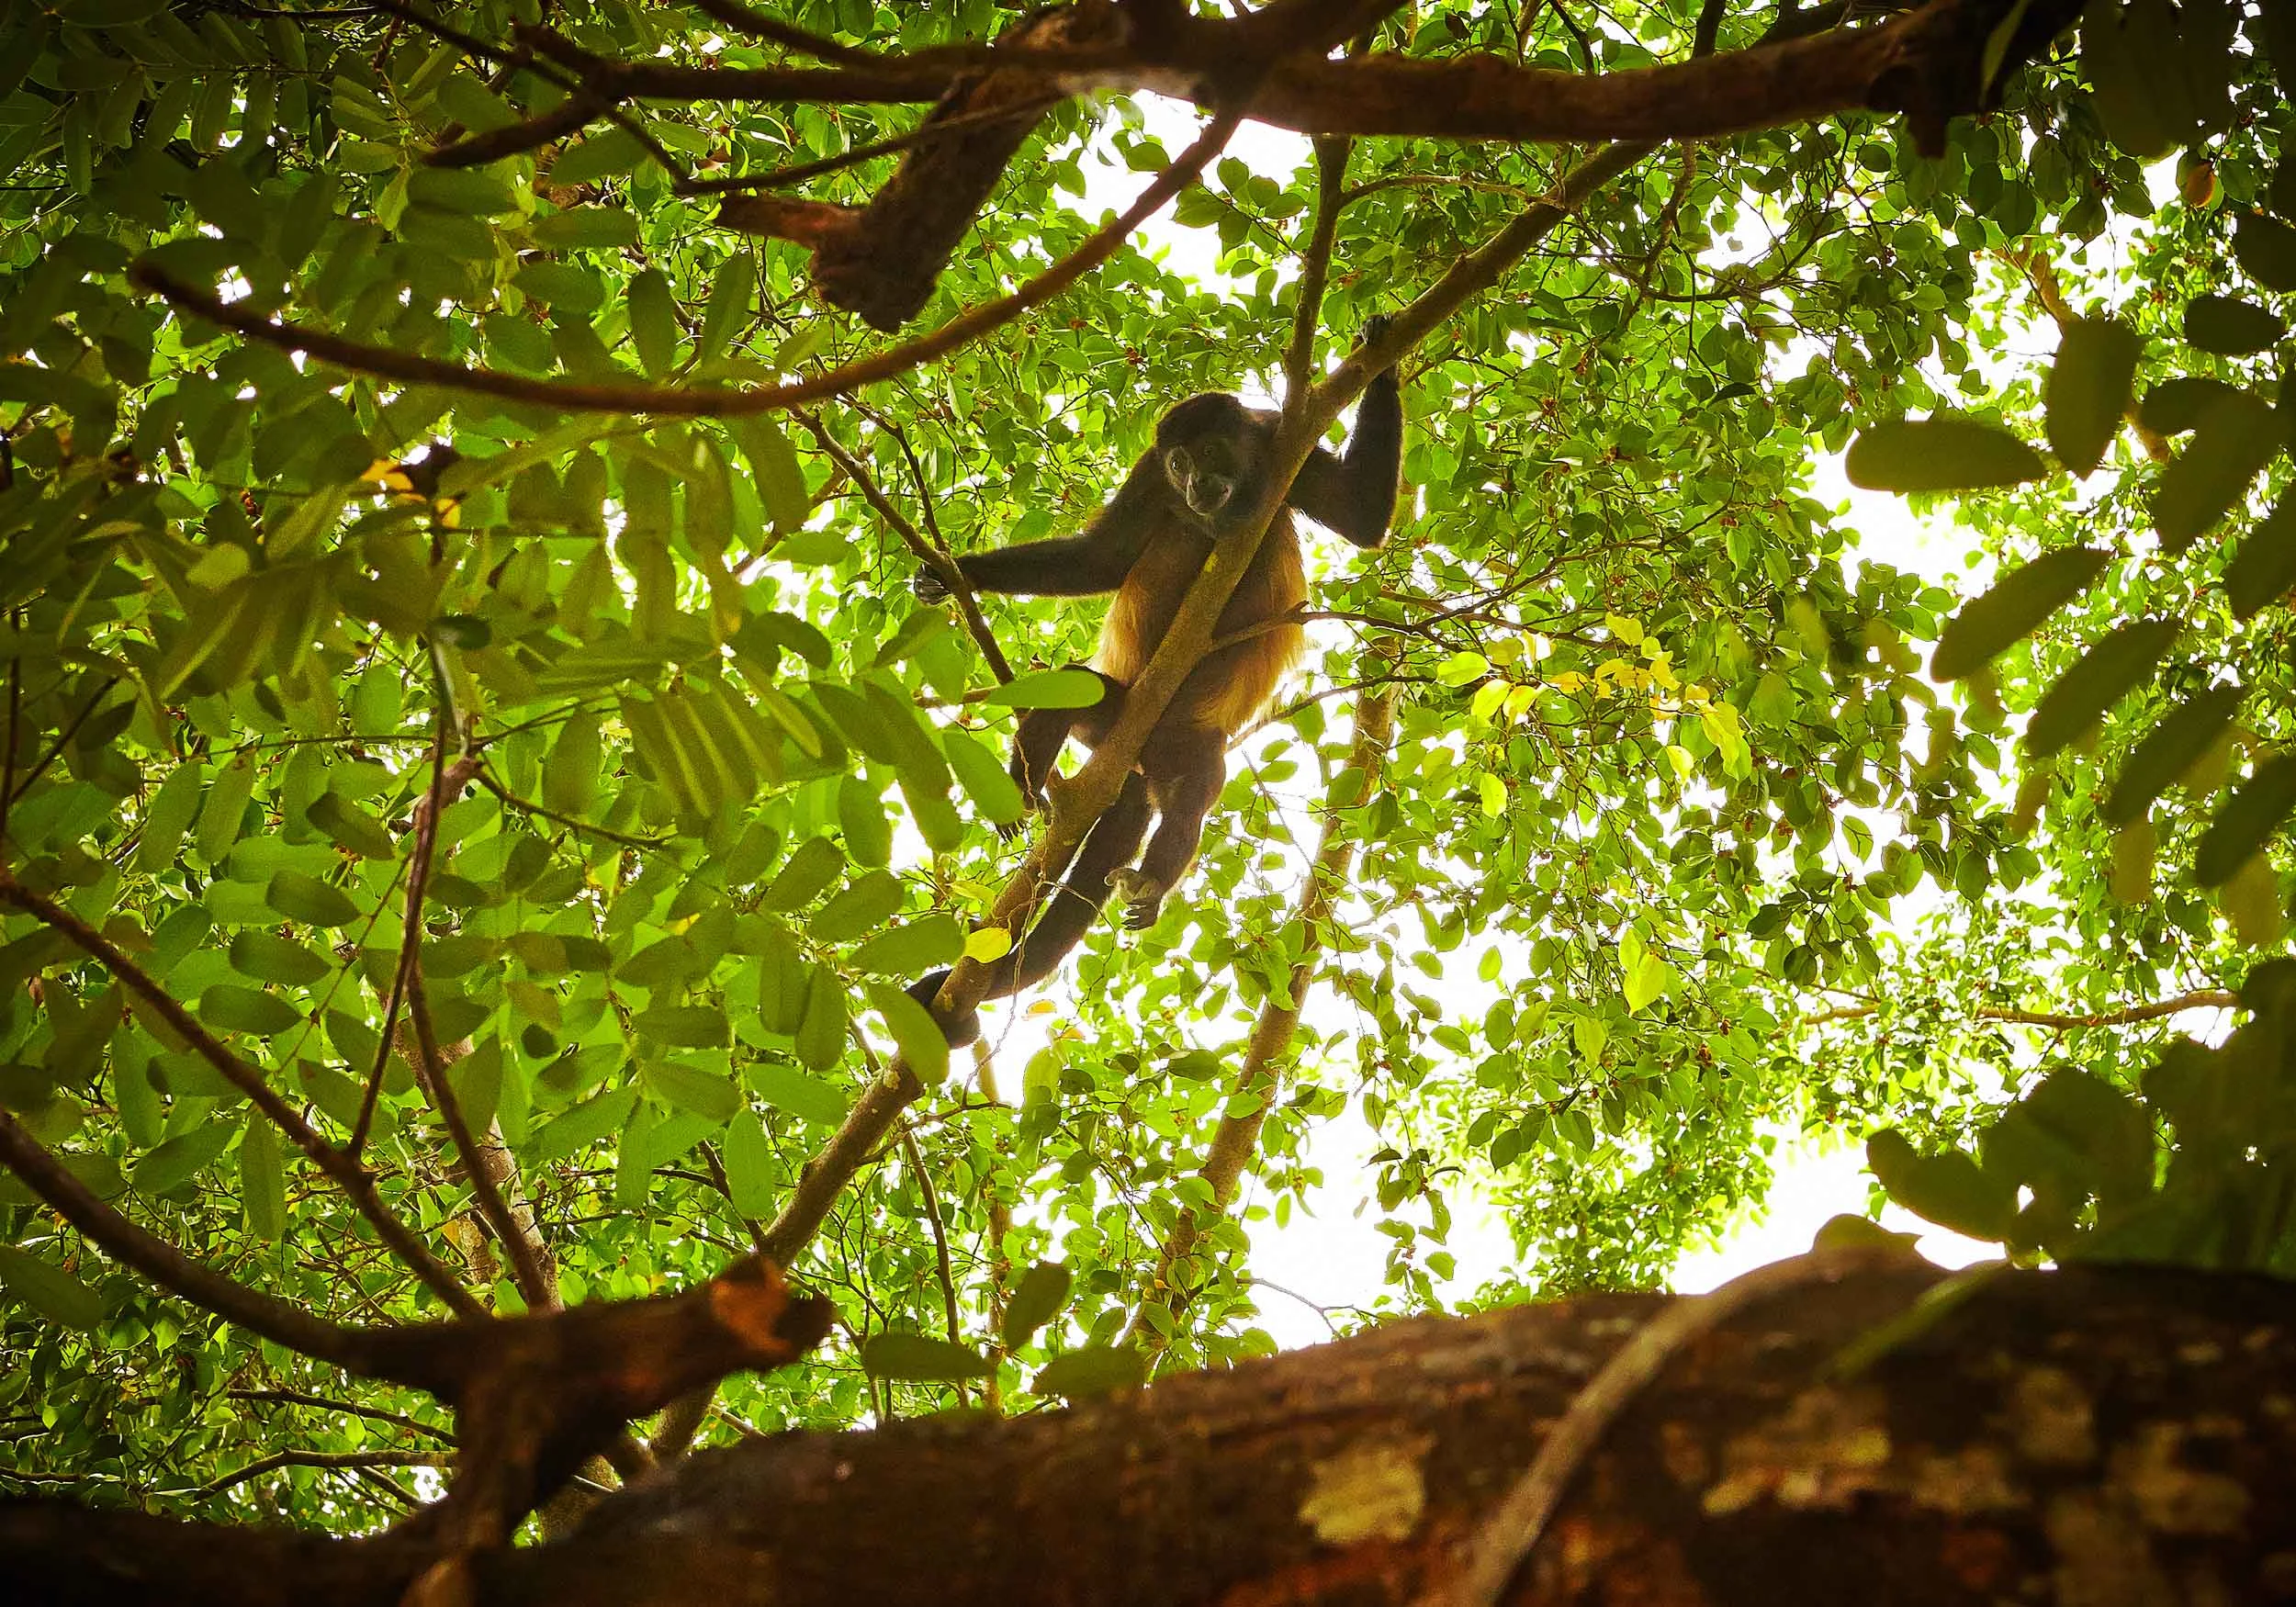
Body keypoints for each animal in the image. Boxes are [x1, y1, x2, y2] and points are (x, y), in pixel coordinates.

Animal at [908, 321, 1402, 1047]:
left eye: (1211, 453)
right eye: (1177, 463)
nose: (1195, 485)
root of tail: (1133, 762)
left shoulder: (1285, 442)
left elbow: (1361, 519)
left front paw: (1383, 351)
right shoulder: (1148, 476)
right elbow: (1102, 559)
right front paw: (955, 573)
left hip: (1181, 741)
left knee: (1196, 789)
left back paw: (1151, 881)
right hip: (1117, 712)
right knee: (1076, 688)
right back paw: (1030, 771)